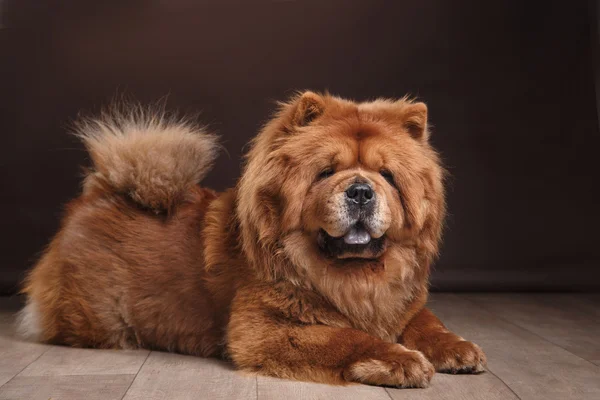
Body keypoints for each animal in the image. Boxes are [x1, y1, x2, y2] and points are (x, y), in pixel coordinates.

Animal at [18, 91, 486, 388]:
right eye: (326, 172)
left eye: (387, 175)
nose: (360, 191)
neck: (353, 279)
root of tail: (99, 193)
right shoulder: (262, 329)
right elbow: (346, 337)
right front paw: (401, 360)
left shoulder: (400, 303)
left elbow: (426, 322)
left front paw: (458, 349)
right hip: (97, 318)